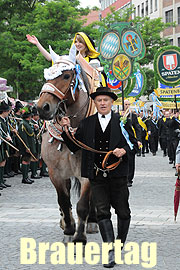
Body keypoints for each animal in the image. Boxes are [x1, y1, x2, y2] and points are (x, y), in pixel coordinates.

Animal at [36, 47, 98, 245]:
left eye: (66, 76)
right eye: (47, 75)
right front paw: (69, 230)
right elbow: (63, 200)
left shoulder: (88, 172)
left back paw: (92, 222)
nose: (42, 107)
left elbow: (83, 204)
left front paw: (80, 235)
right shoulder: (55, 172)